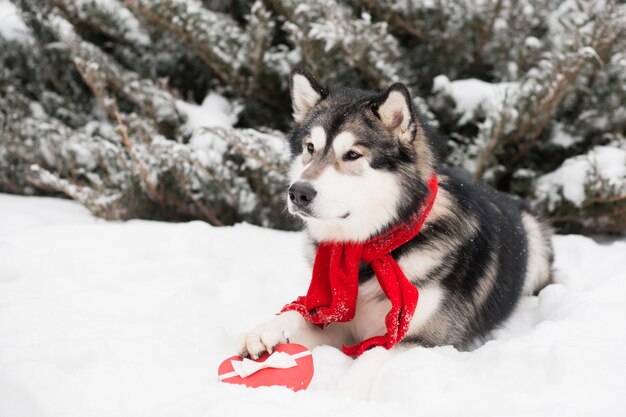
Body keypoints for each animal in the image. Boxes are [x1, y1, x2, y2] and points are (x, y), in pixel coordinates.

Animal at [235, 68, 552, 358]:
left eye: (352, 154)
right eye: (310, 148)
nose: (298, 192)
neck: (369, 250)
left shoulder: (423, 339)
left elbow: (370, 359)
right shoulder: (340, 319)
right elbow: (298, 315)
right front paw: (265, 330)